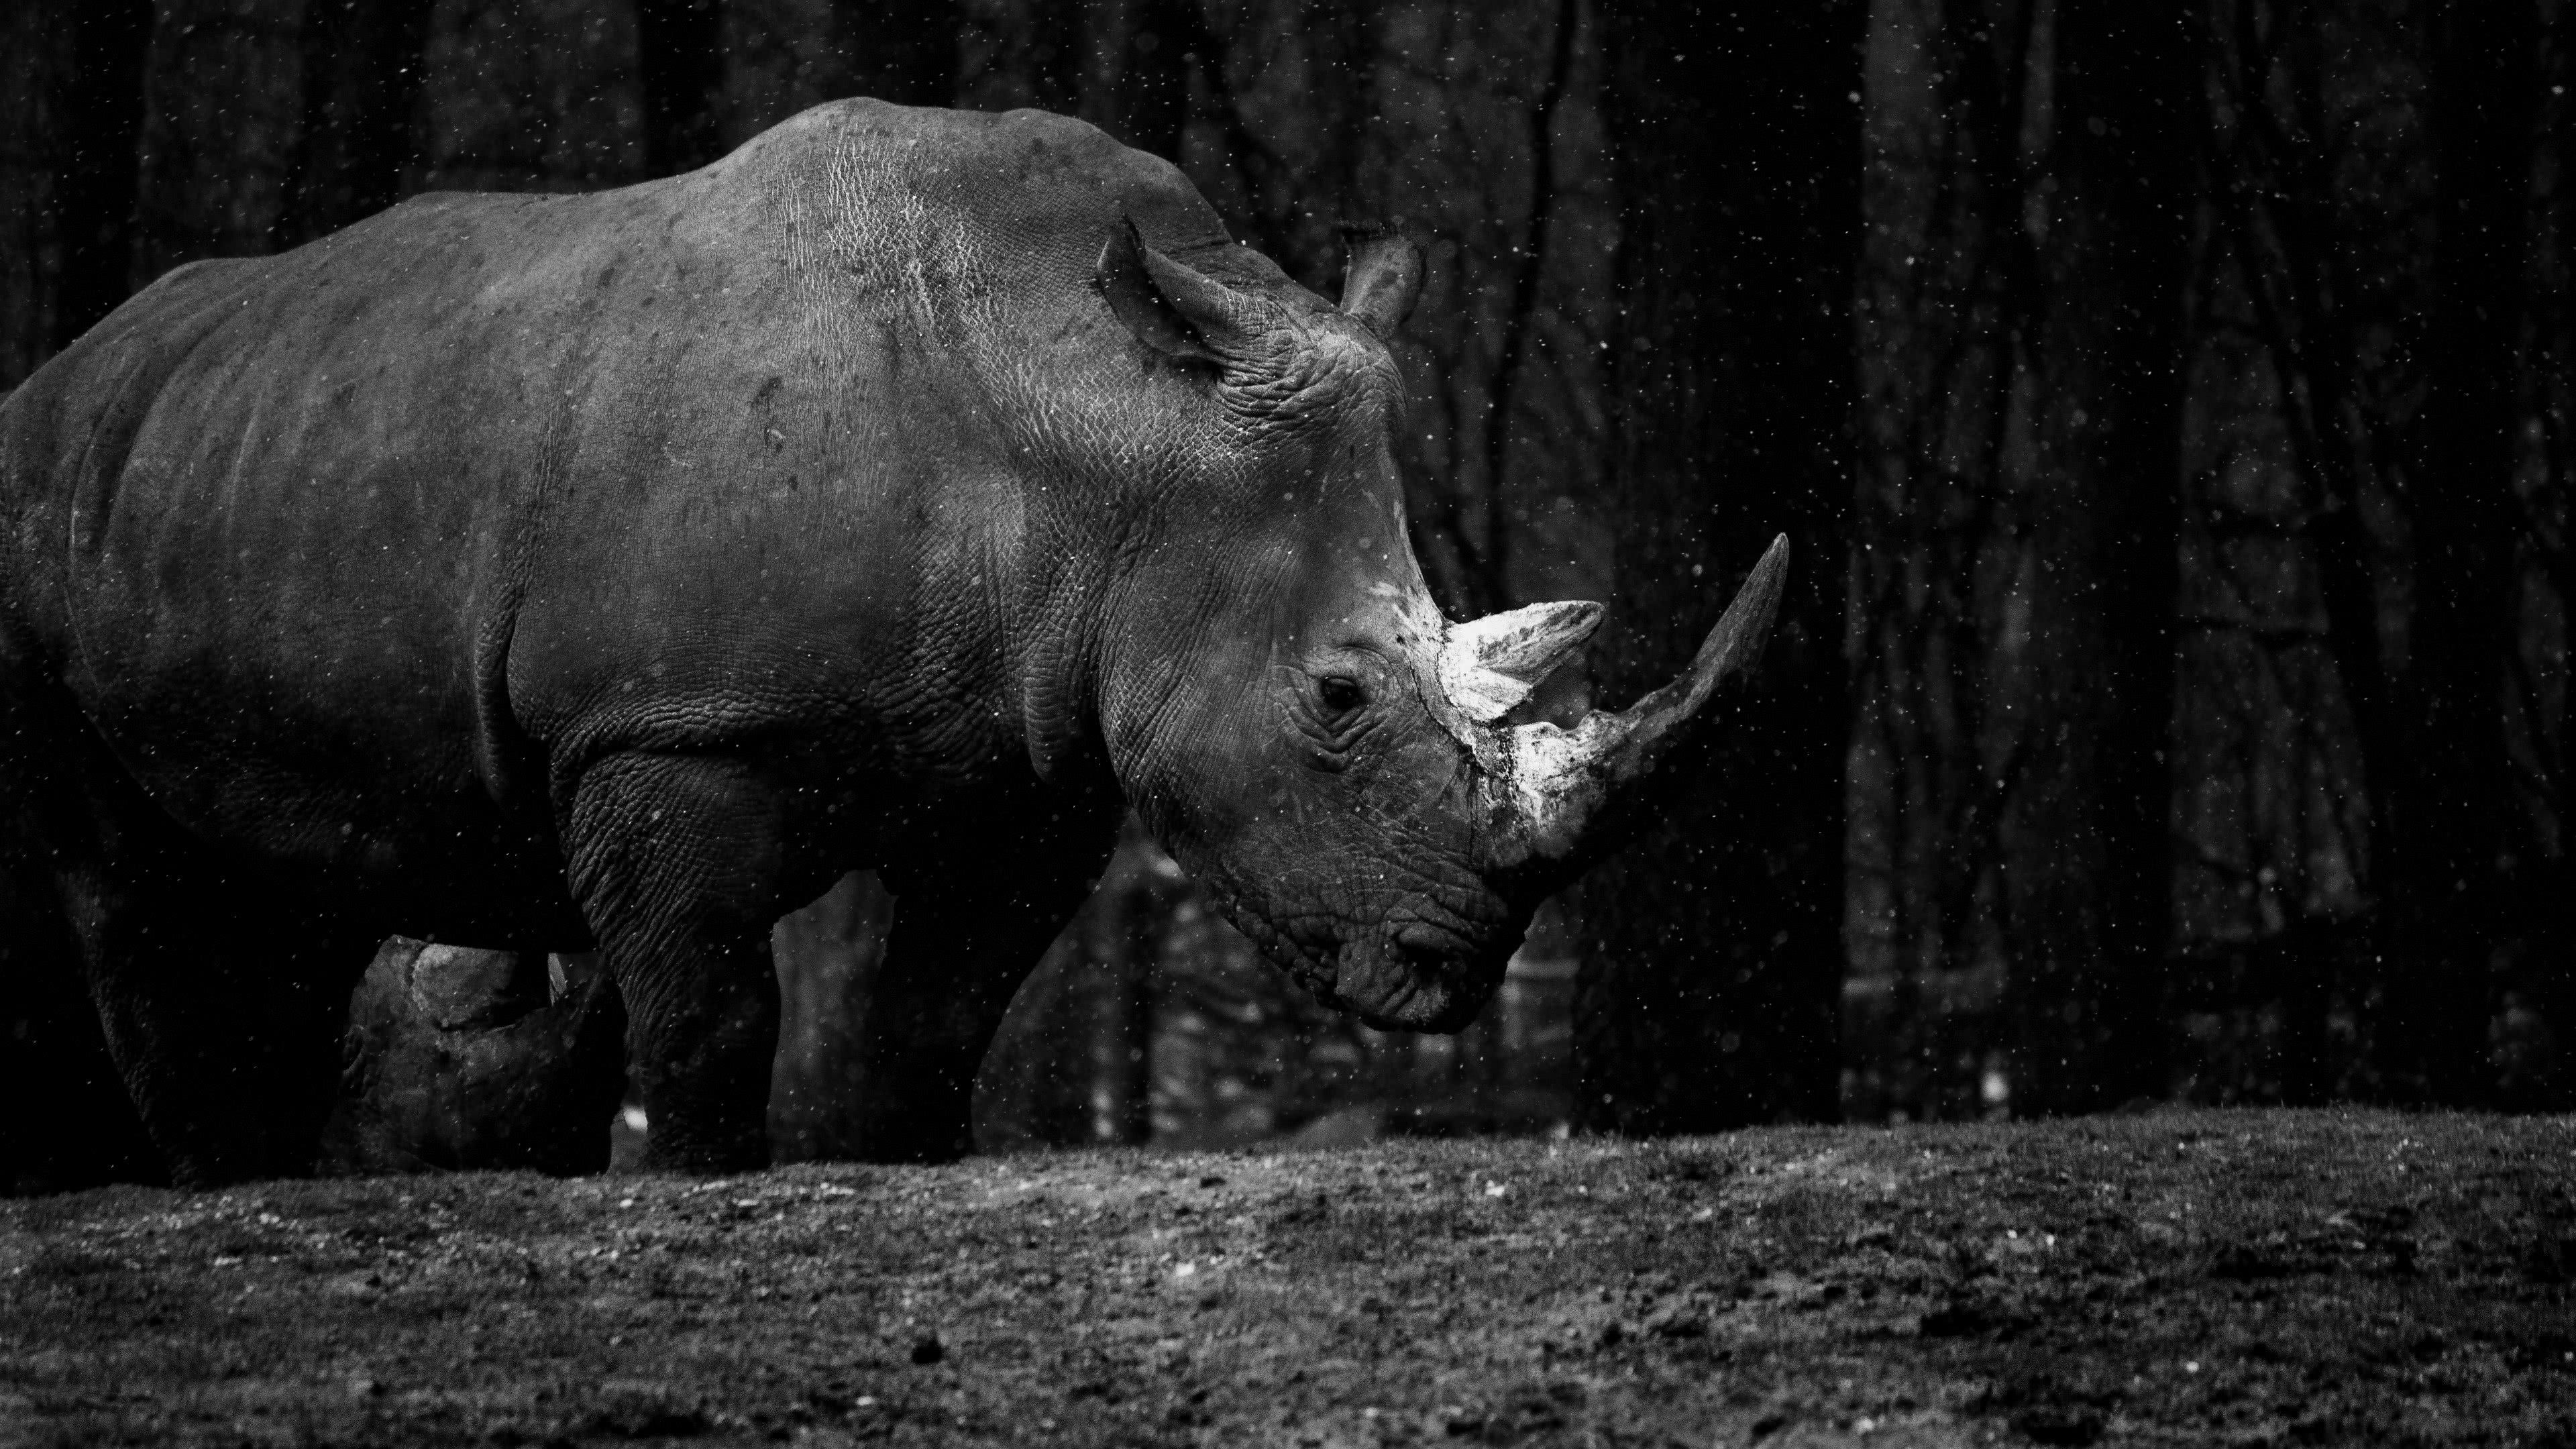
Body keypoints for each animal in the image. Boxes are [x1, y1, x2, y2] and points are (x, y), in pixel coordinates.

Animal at [0, 100, 1784, 1188]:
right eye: (1336, 696)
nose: (1450, 968)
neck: (1100, 420)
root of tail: (56, 376)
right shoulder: (666, 725)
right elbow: (709, 1015)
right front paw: (696, 1180)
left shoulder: (1037, 756)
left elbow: (936, 1015)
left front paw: (889, 1152)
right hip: (42, 528)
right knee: (132, 884)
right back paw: (226, 1180)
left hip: (238, 466)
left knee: (284, 877)